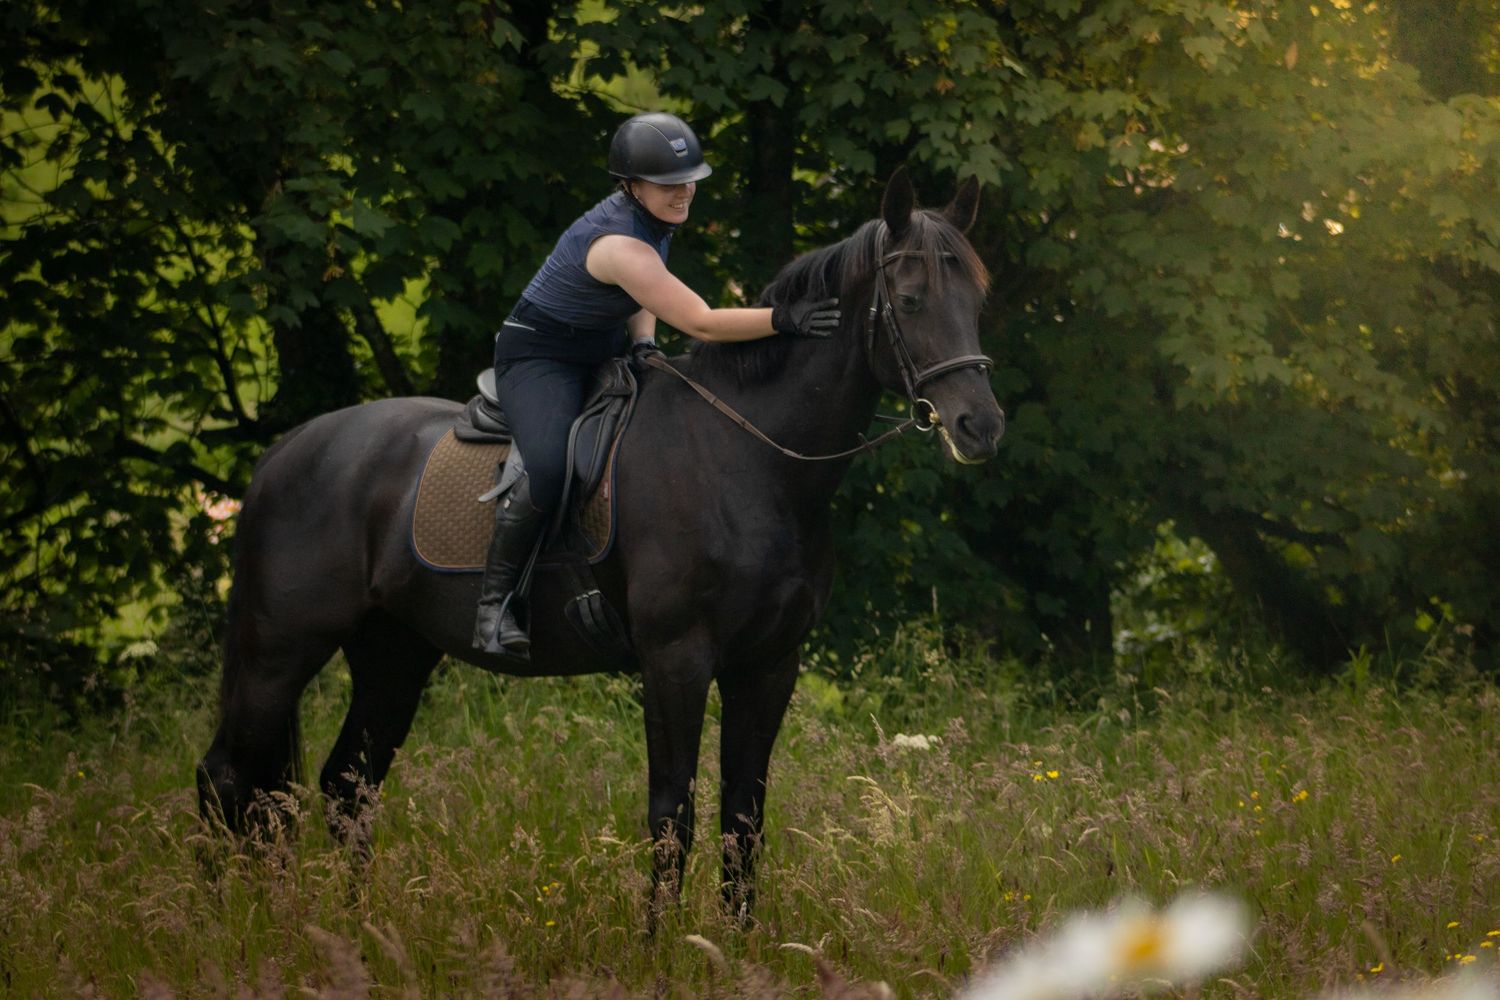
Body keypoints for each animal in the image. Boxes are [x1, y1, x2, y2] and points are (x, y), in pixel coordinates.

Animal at [196, 168, 1005, 919]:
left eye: (975, 303)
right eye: (910, 301)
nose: (980, 427)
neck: (747, 458)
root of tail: (286, 451)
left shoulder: (770, 664)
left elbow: (743, 818)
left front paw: (737, 950)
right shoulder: (676, 659)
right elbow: (672, 816)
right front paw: (663, 950)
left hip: (392, 653)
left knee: (343, 788)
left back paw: (353, 928)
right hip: (278, 651)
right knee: (228, 778)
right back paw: (228, 923)